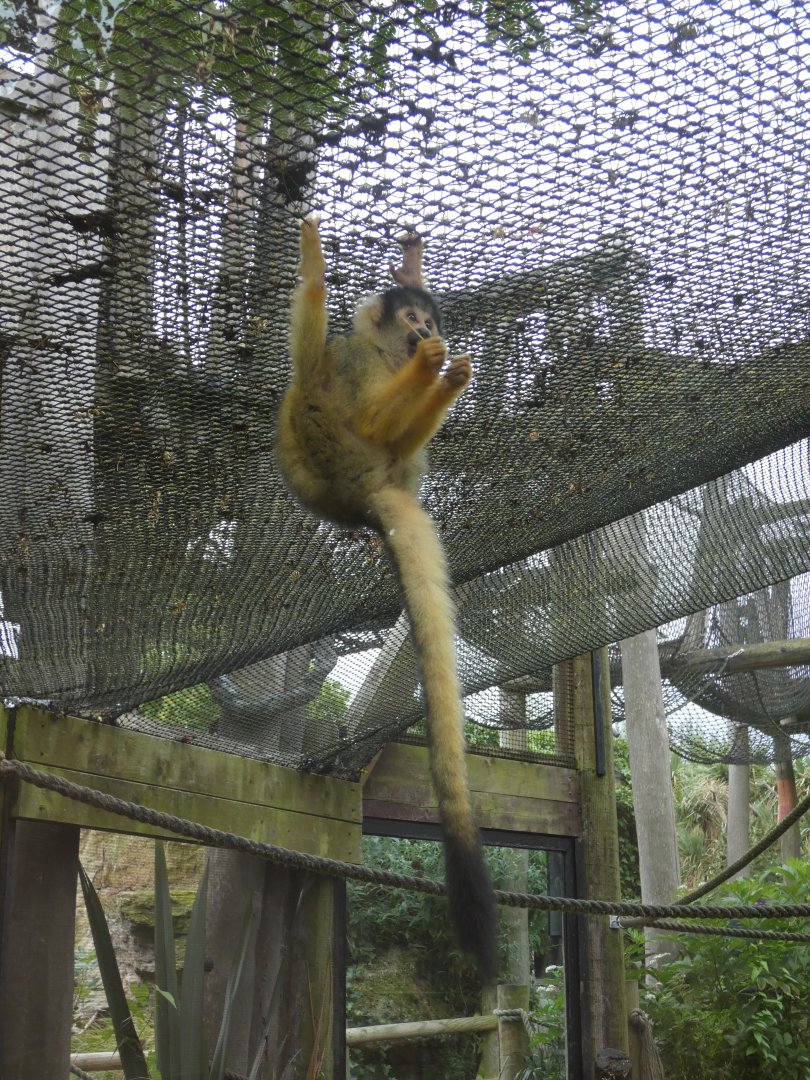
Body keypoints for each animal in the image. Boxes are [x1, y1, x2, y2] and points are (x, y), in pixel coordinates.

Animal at [276, 216, 497, 978]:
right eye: (412, 319)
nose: (425, 331)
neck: (380, 351)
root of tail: (364, 498)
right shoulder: (355, 362)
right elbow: (353, 394)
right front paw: (431, 366)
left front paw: (446, 368)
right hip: (335, 452)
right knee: (310, 380)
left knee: (311, 381)